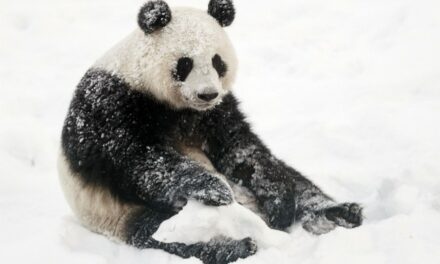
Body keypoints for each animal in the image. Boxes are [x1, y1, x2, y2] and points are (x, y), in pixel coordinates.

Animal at [57, 1, 360, 262]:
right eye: (185, 63)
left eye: (218, 61)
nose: (207, 94)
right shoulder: (109, 106)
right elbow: (141, 160)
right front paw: (213, 189)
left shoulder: (217, 111)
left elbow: (239, 149)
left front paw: (279, 201)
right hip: (120, 214)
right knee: (165, 236)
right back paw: (235, 246)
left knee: (298, 182)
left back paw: (338, 213)